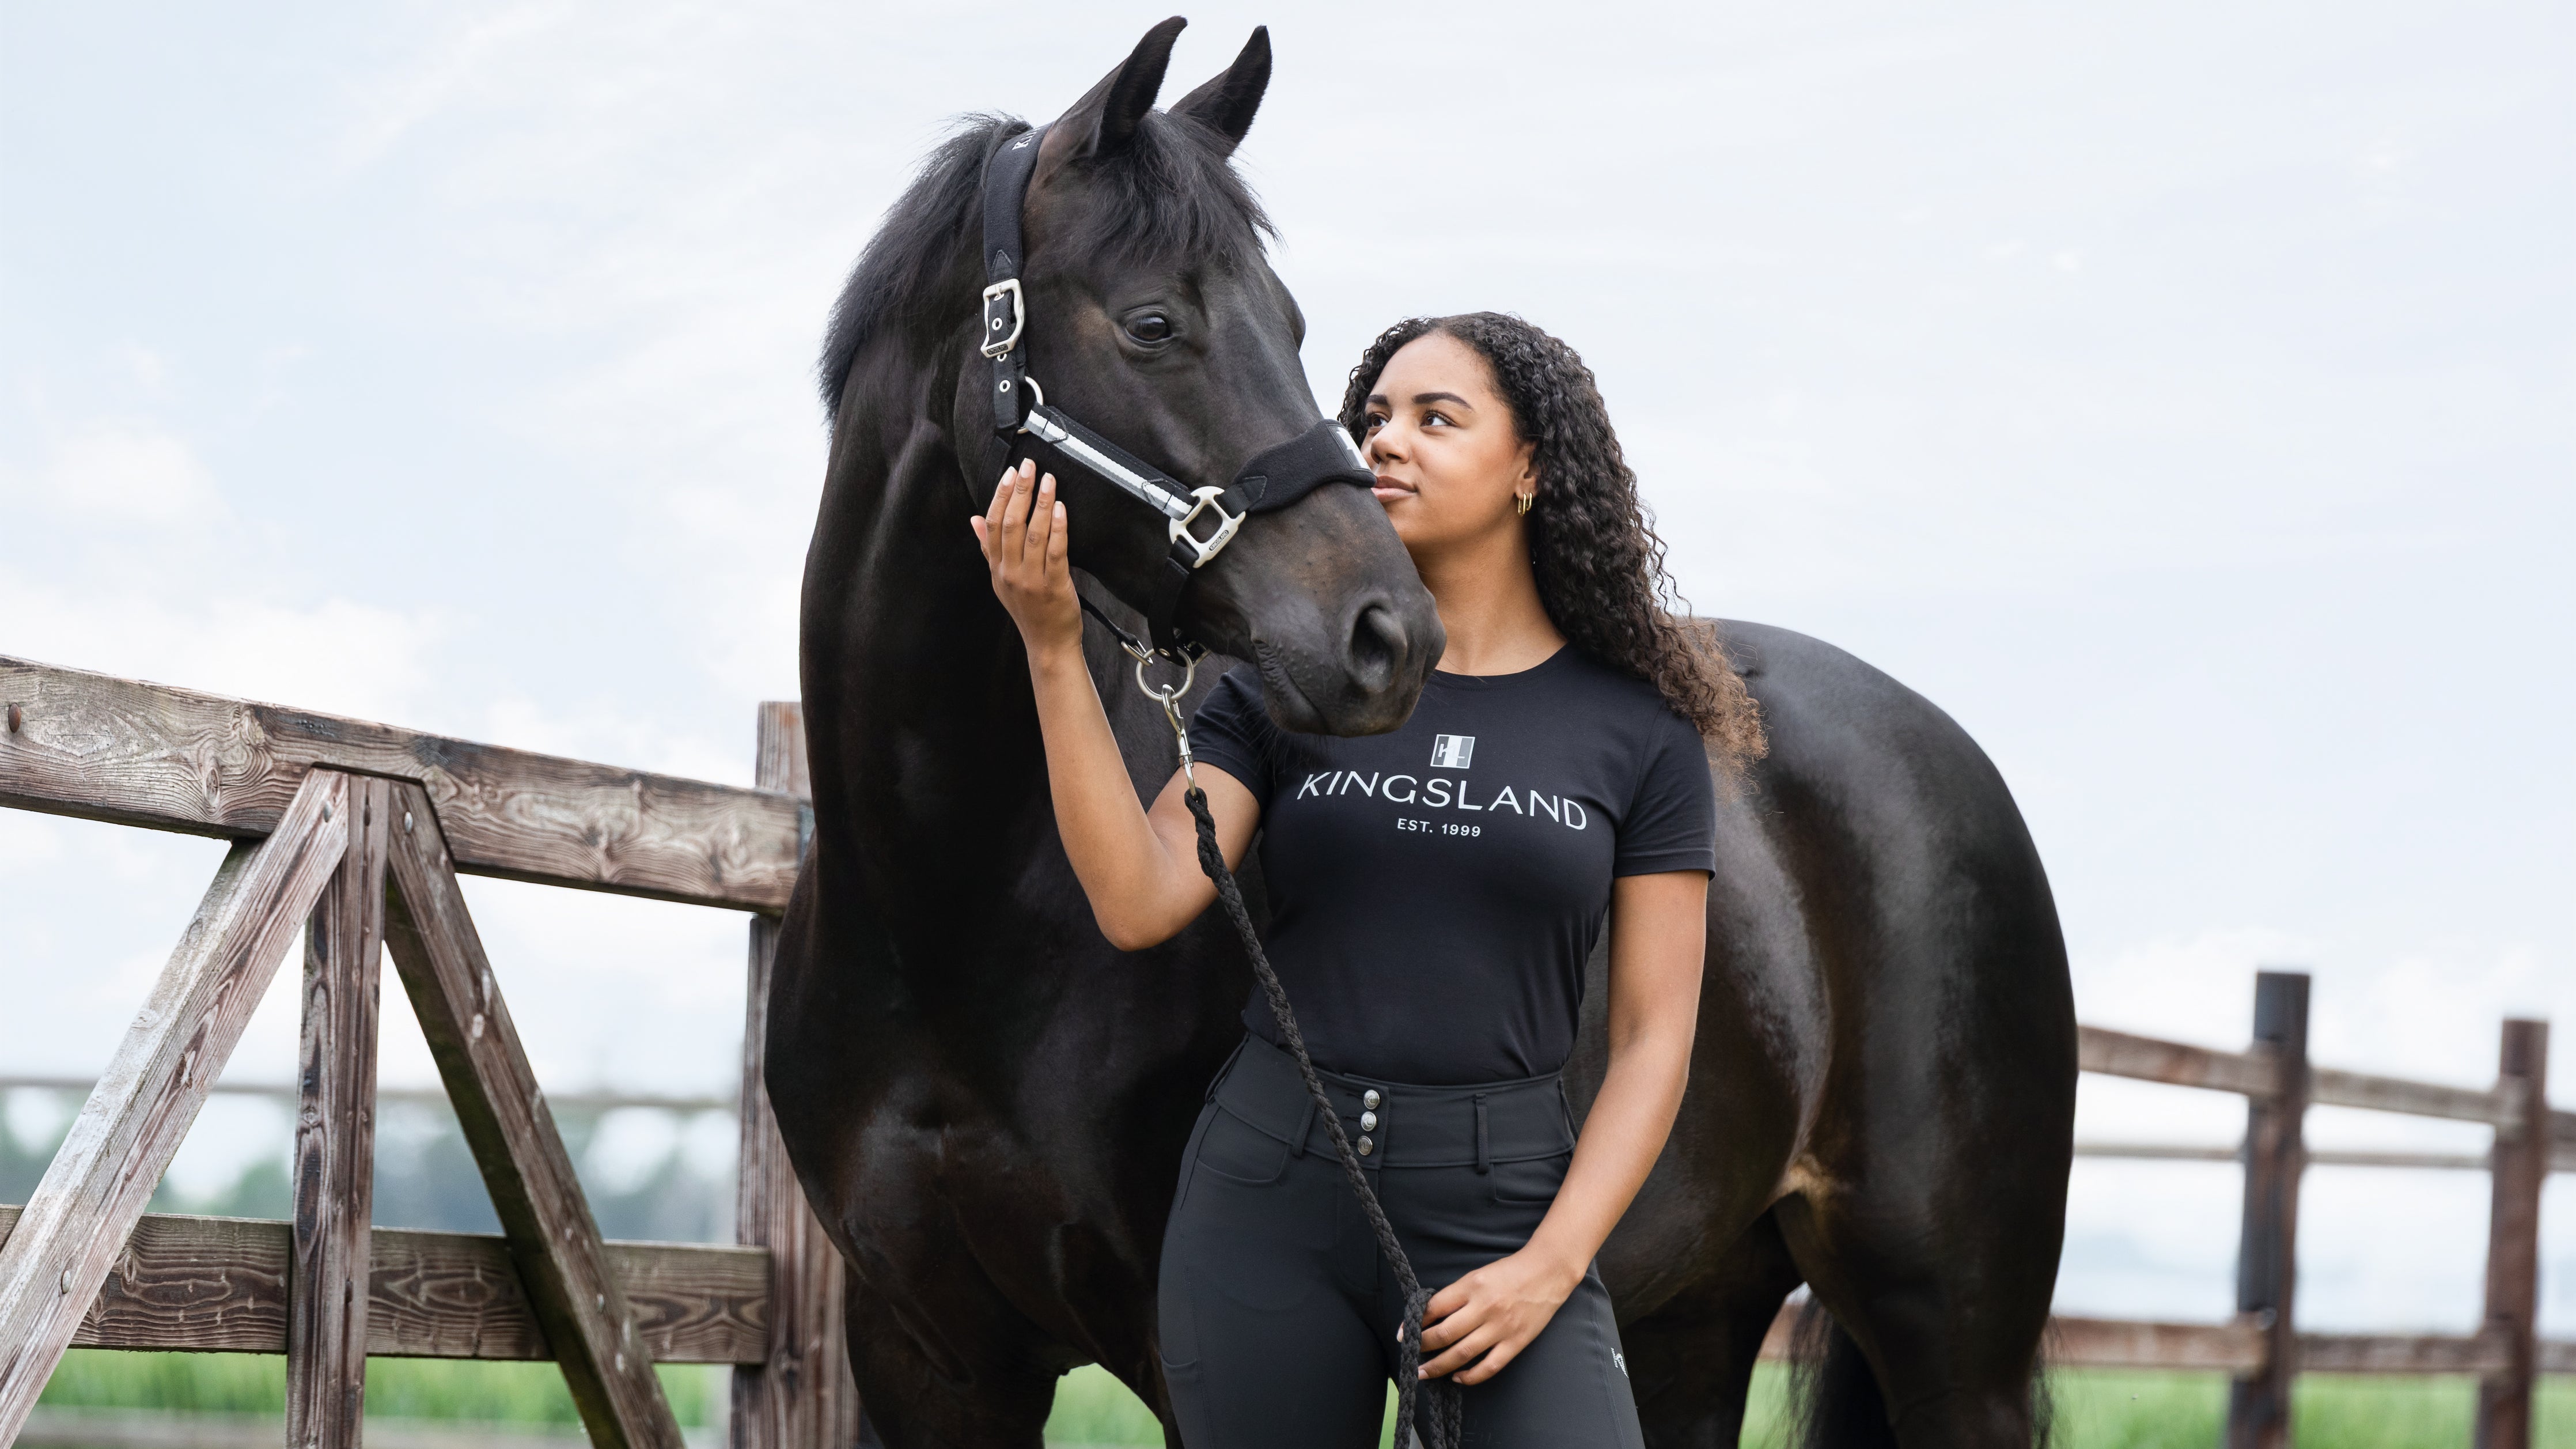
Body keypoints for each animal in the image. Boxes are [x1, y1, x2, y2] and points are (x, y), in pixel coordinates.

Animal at [768, 18, 2076, 1448]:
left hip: (1951, 1345)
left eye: (1291, 326)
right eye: (1154, 321)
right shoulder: (927, 1357)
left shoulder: (1183, 1351)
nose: (1385, 635)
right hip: (1689, 1315)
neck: (956, 911)